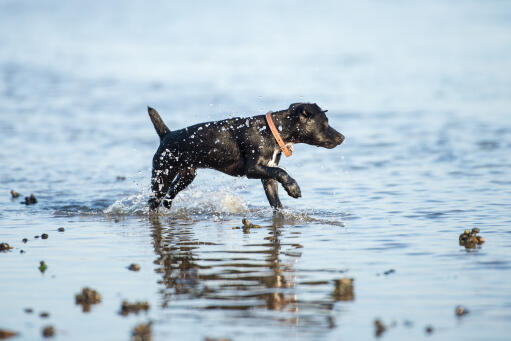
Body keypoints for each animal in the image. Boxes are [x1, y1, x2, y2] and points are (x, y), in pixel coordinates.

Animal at [150, 102, 346, 210]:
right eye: (325, 124)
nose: (342, 137)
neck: (271, 131)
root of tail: (166, 135)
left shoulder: (268, 176)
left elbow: (276, 202)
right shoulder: (252, 169)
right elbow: (282, 172)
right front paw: (293, 188)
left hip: (187, 175)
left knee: (170, 194)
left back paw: (168, 204)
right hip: (162, 175)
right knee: (153, 201)